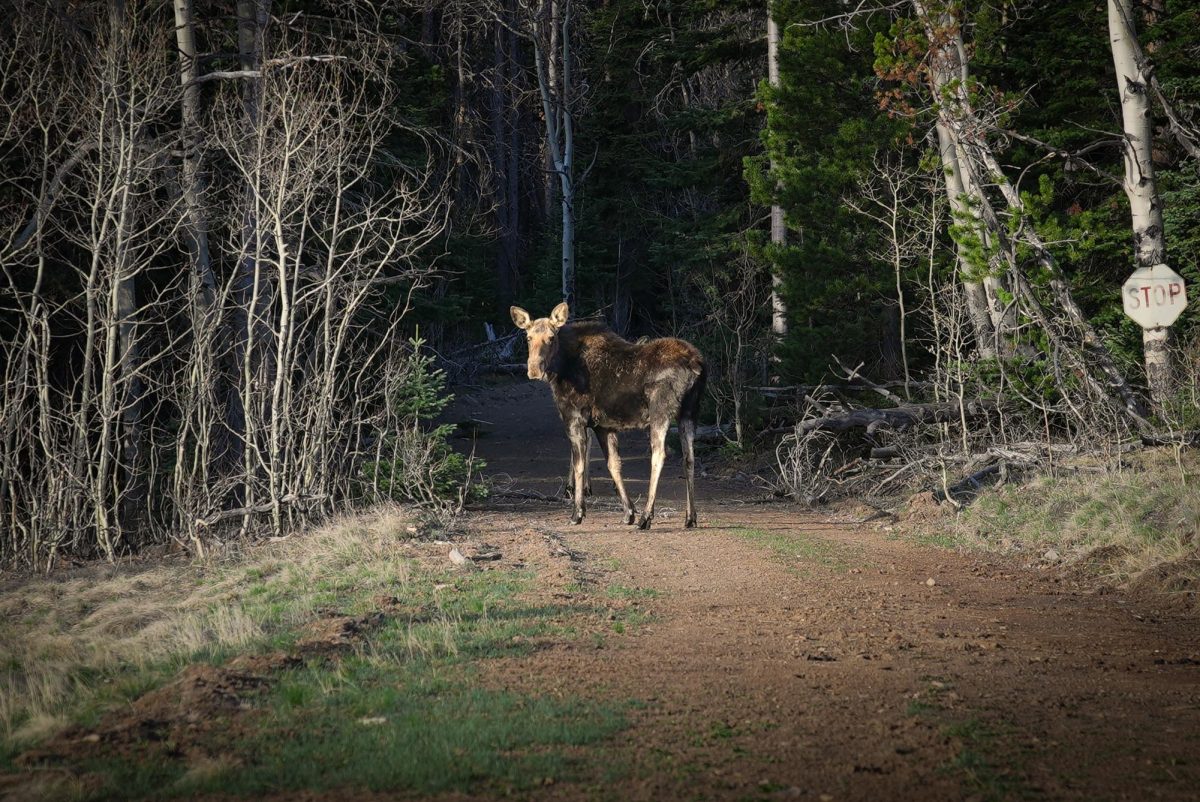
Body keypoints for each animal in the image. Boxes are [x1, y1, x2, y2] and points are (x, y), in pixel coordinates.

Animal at [510, 302, 706, 530]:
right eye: (528, 337)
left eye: (551, 338)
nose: (534, 370)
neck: (561, 368)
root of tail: (696, 364)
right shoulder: (603, 426)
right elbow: (614, 465)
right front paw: (628, 512)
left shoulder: (574, 419)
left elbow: (579, 465)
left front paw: (577, 513)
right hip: (690, 412)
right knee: (689, 458)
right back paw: (690, 517)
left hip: (660, 411)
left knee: (659, 455)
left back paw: (646, 517)